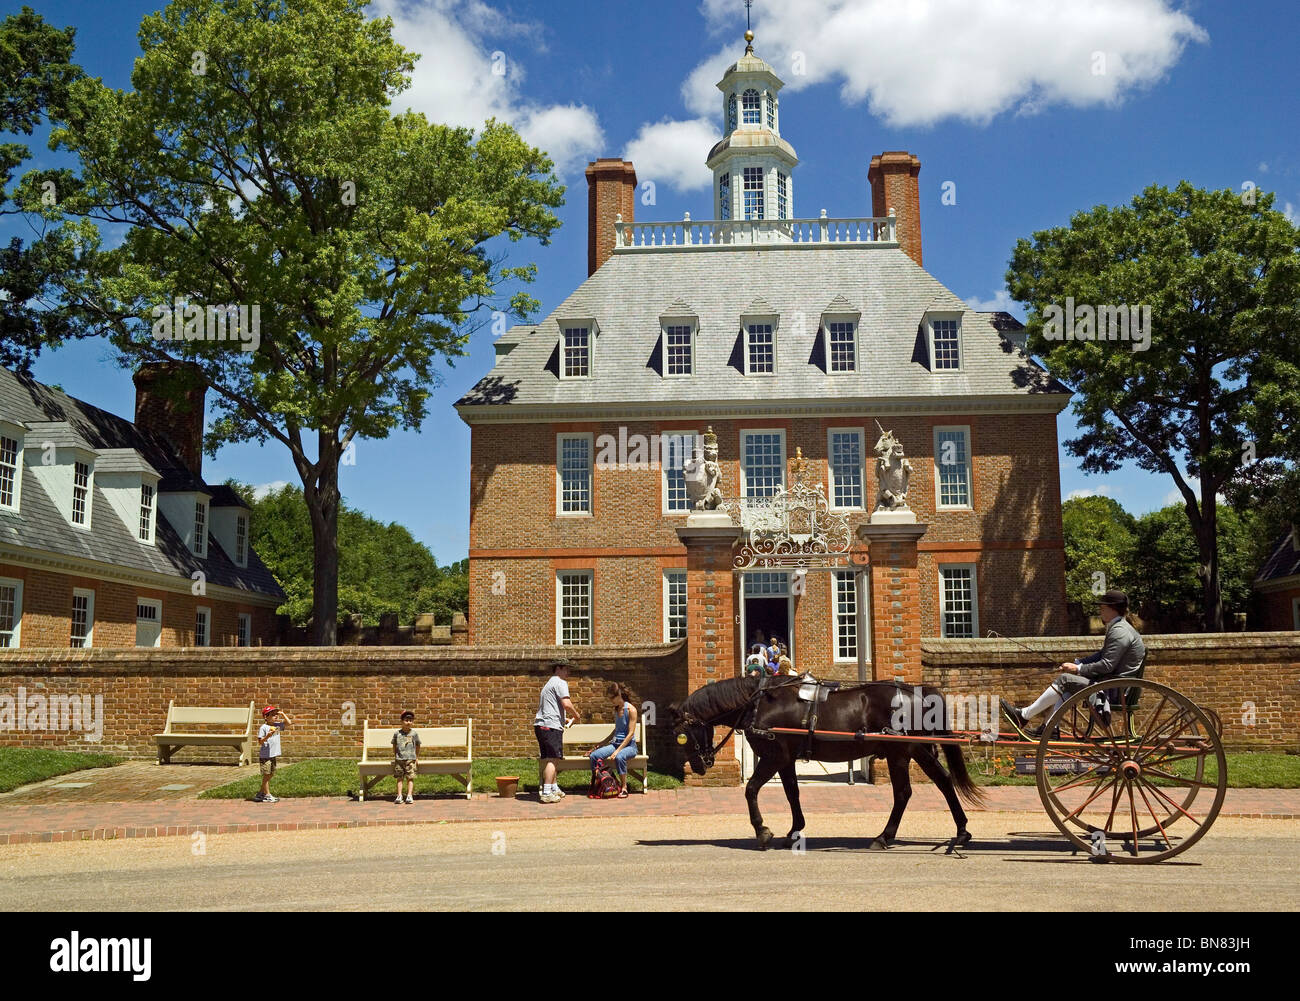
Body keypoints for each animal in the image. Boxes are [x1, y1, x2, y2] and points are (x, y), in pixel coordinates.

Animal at [670, 676, 982, 847]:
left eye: (681, 735)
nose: (698, 766)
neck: (758, 703)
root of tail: (916, 691)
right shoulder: (786, 759)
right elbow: (792, 793)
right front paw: (794, 829)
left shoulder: (774, 756)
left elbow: (751, 790)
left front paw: (762, 831)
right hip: (916, 750)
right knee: (943, 780)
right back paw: (962, 831)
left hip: (900, 753)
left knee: (904, 792)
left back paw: (885, 836)